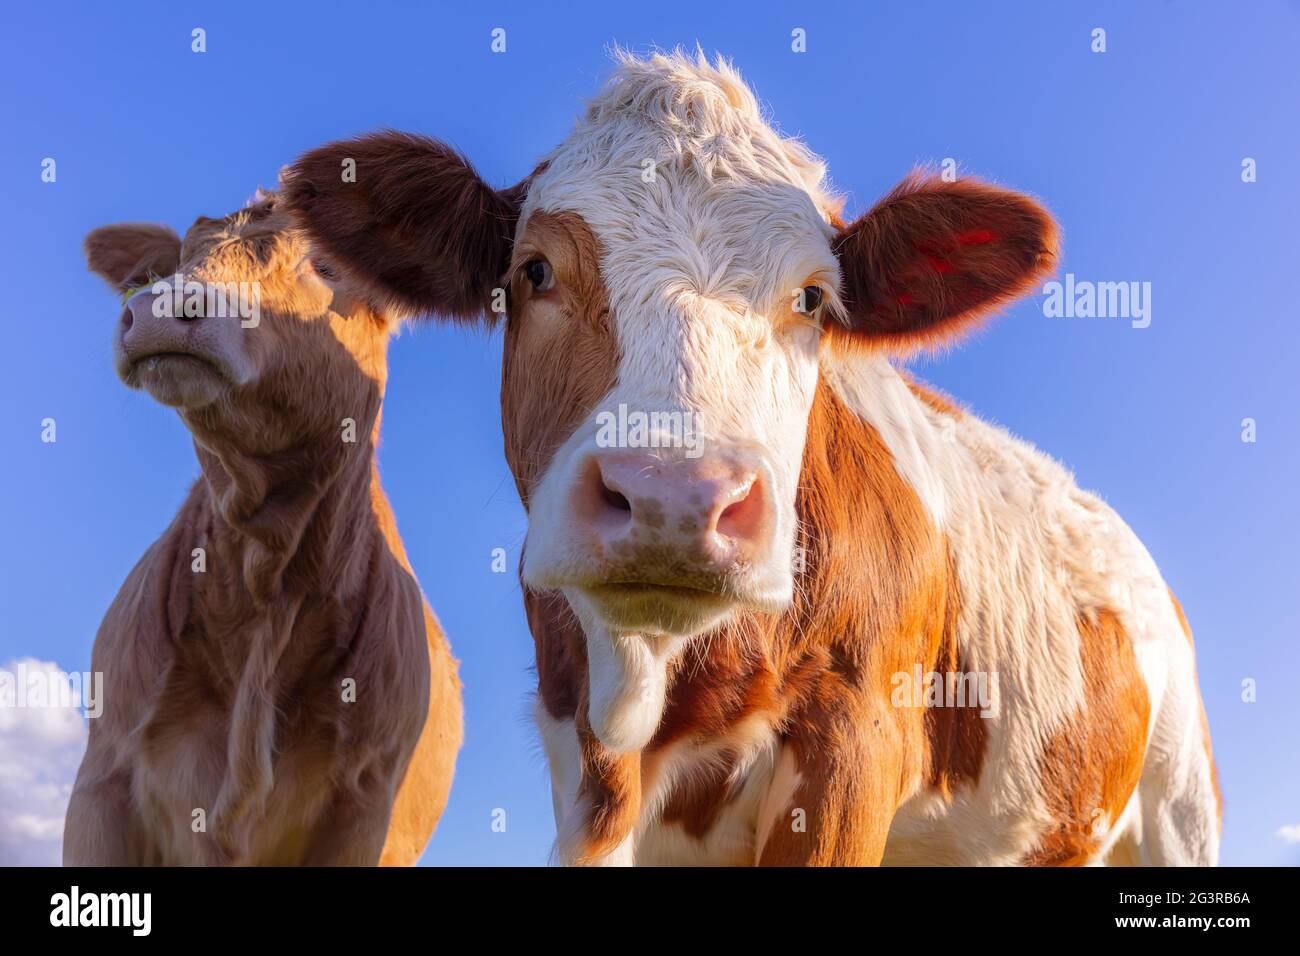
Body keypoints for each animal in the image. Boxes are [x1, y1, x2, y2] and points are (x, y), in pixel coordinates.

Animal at [283, 51, 1221, 866]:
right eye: (535, 270)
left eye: (812, 298)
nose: (675, 497)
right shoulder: (582, 769)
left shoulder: (854, 737)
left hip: (1178, 810)